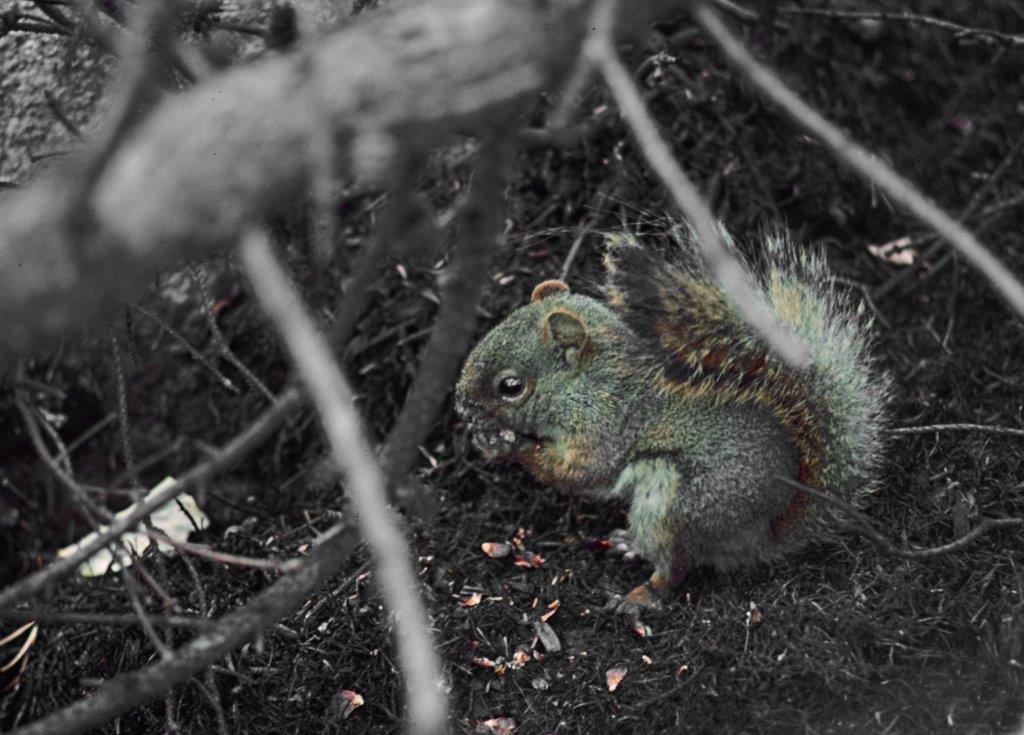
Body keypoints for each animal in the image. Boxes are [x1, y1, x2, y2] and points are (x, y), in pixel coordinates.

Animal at [455, 228, 890, 613]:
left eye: (511, 386)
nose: (460, 404)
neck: (587, 384)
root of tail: (764, 538)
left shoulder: (605, 428)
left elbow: (577, 472)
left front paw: (509, 444)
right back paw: (630, 545)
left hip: (677, 506)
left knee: (677, 566)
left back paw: (640, 596)